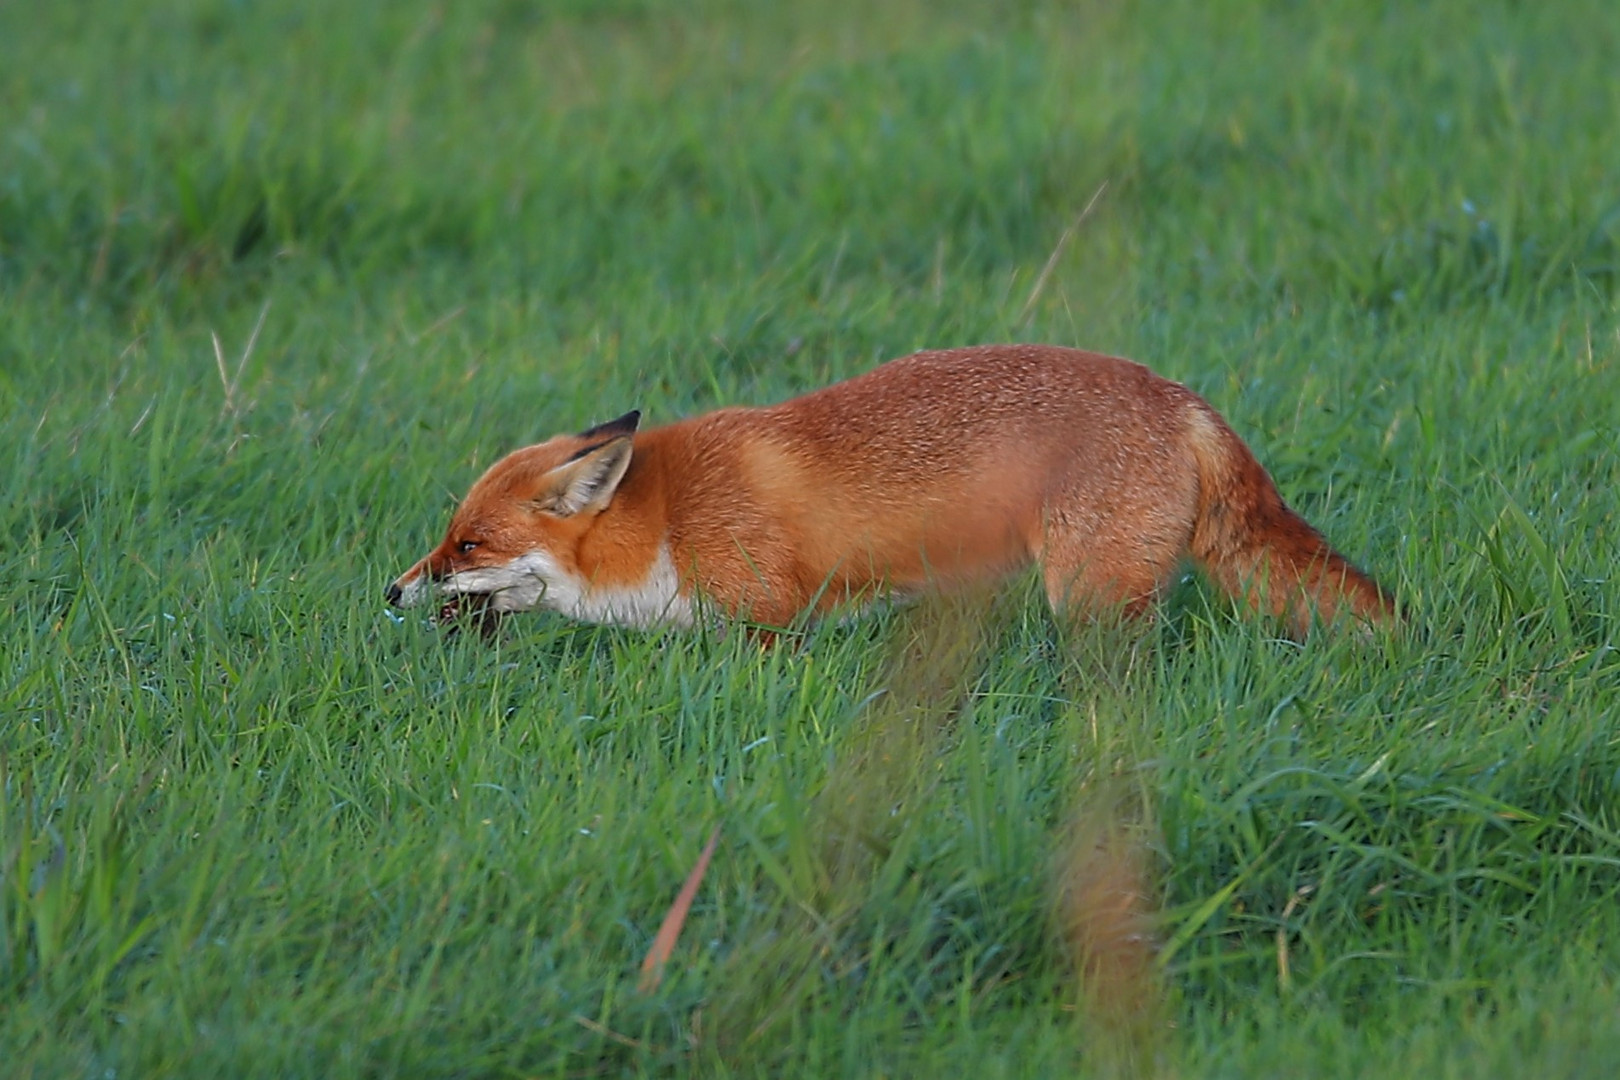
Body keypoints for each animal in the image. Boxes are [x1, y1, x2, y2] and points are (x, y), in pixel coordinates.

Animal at [385, 344, 1399, 634]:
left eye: (468, 545)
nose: (391, 591)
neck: (667, 522)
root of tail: (1178, 394)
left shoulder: (768, 621)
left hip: (1088, 601)